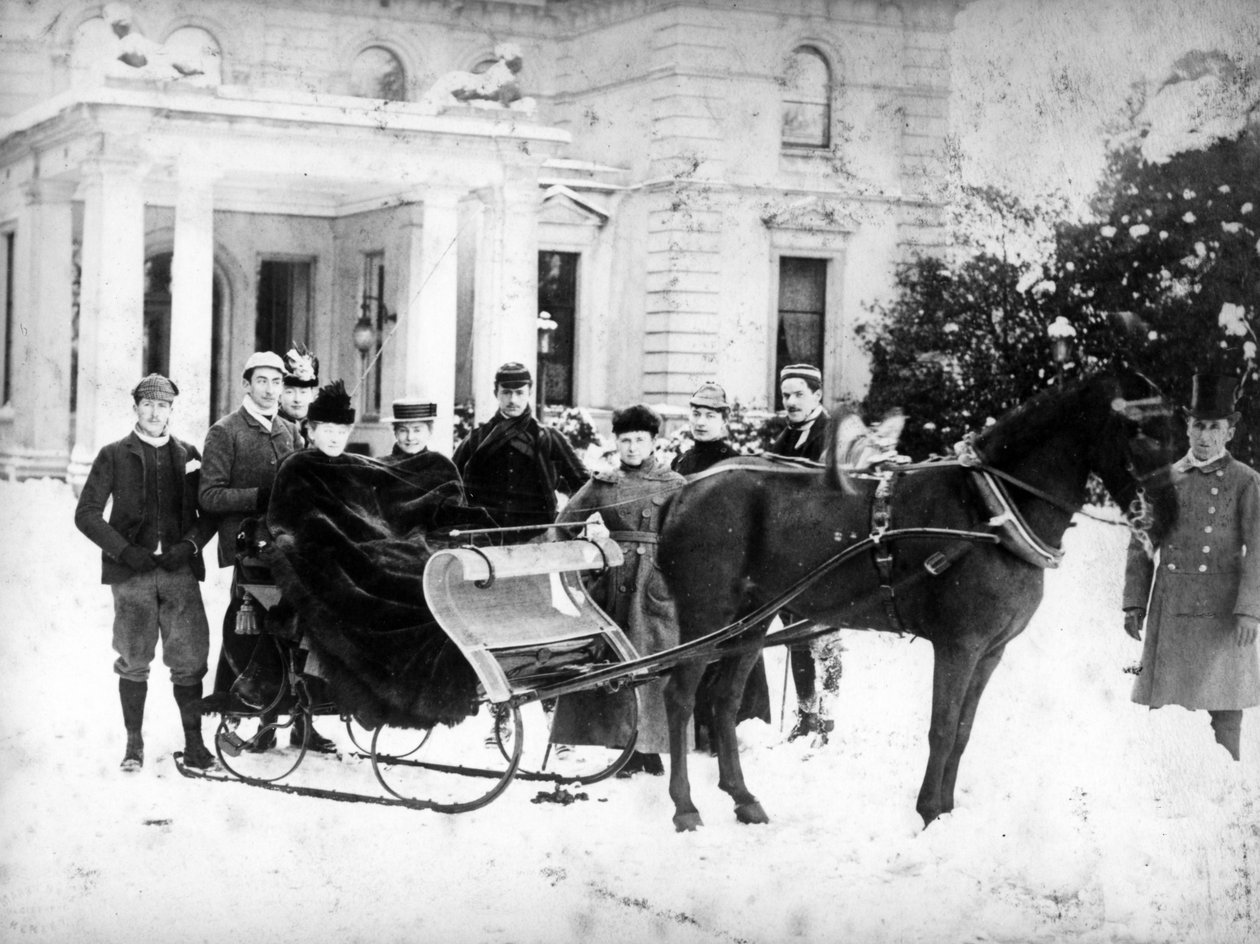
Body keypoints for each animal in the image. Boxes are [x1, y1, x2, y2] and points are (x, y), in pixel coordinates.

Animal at [655, 373, 1174, 826]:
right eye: (1137, 428)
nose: (1168, 516)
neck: (988, 512)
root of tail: (686, 490)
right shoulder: (958, 645)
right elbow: (941, 729)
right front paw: (928, 811)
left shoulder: (990, 651)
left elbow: (963, 731)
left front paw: (945, 812)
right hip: (707, 616)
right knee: (678, 697)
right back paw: (684, 807)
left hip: (751, 621)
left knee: (723, 700)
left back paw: (743, 797)